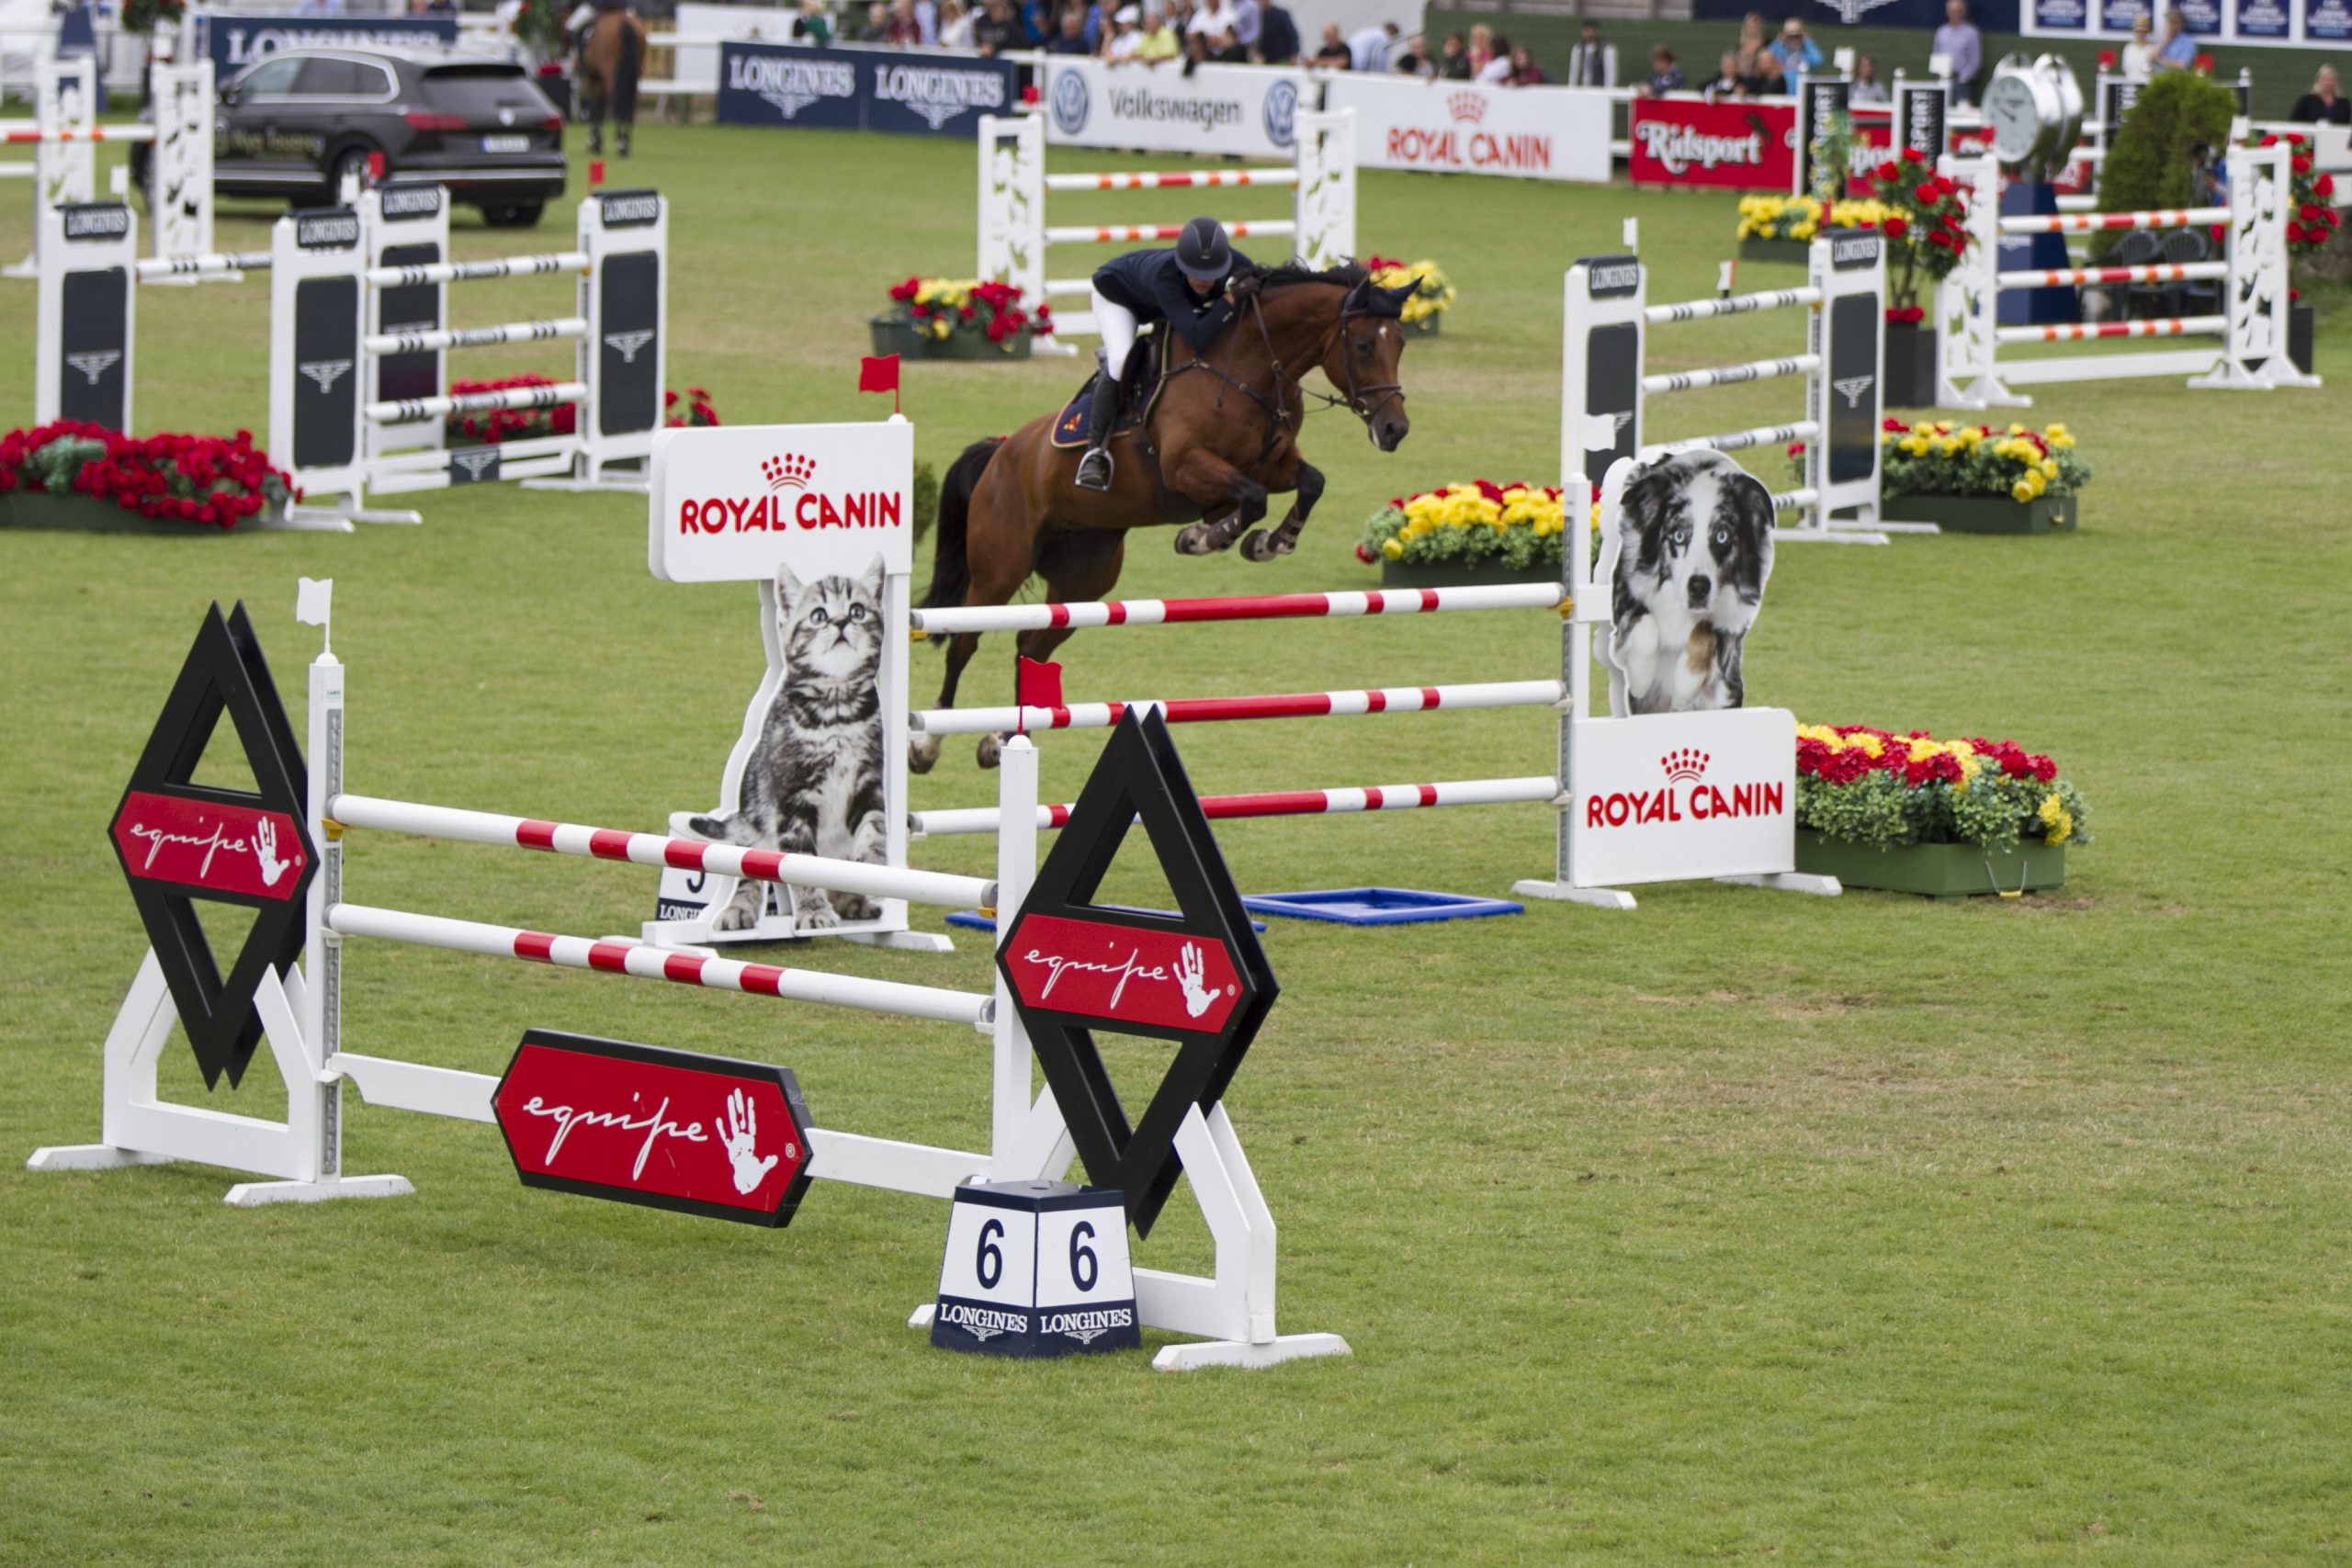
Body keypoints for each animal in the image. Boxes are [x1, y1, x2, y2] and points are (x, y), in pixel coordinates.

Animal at [571, 3, 644, 157]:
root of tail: (623, 22)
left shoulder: (591, 79)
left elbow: (595, 107)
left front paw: (594, 142)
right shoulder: (598, 80)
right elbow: (600, 106)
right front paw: (596, 142)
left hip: (608, 73)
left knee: (615, 98)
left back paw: (621, 143)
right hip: (634, 75)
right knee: (630, 101)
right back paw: (625, 143)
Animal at [908, 266, 1401, 775]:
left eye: (1401, 342)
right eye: (1364, 345)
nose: (1394, 430)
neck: (1249, 370)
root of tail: (1001, 450)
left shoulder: (1272, 463)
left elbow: (1309, 482)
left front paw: (1269, 542)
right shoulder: (1184, 467)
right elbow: (1252, 497)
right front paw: (1203, 537)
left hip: (1084, 582)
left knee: (1032, 646)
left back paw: (999, 739)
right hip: (1000, 568)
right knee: (964, 642)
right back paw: (926, 745)